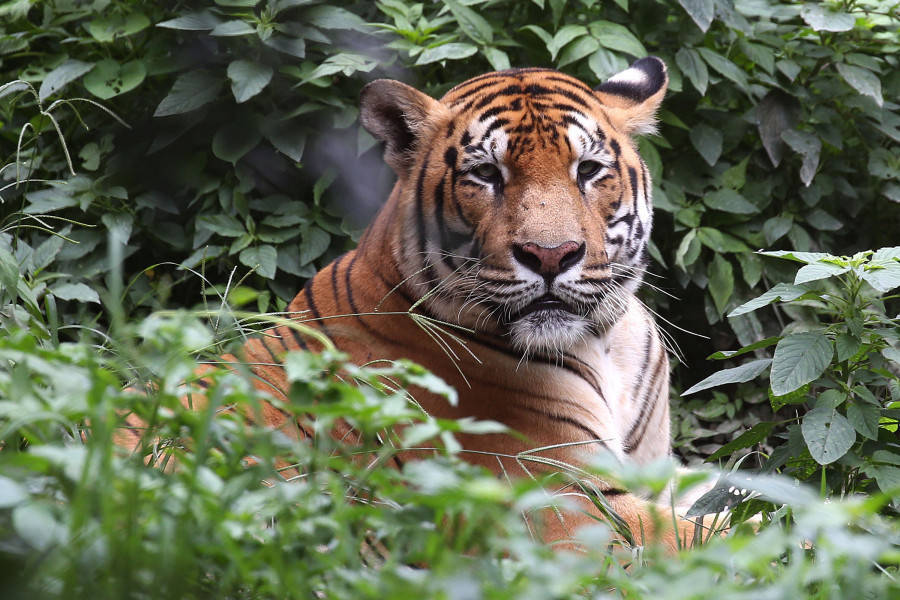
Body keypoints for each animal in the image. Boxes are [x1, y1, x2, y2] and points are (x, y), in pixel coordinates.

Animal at [126, 57, 704, 552]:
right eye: (486, 175)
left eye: (587, 170)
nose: (550, 254)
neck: (605, 342)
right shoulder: (565, 505)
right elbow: (711, 539)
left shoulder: (657, 473)